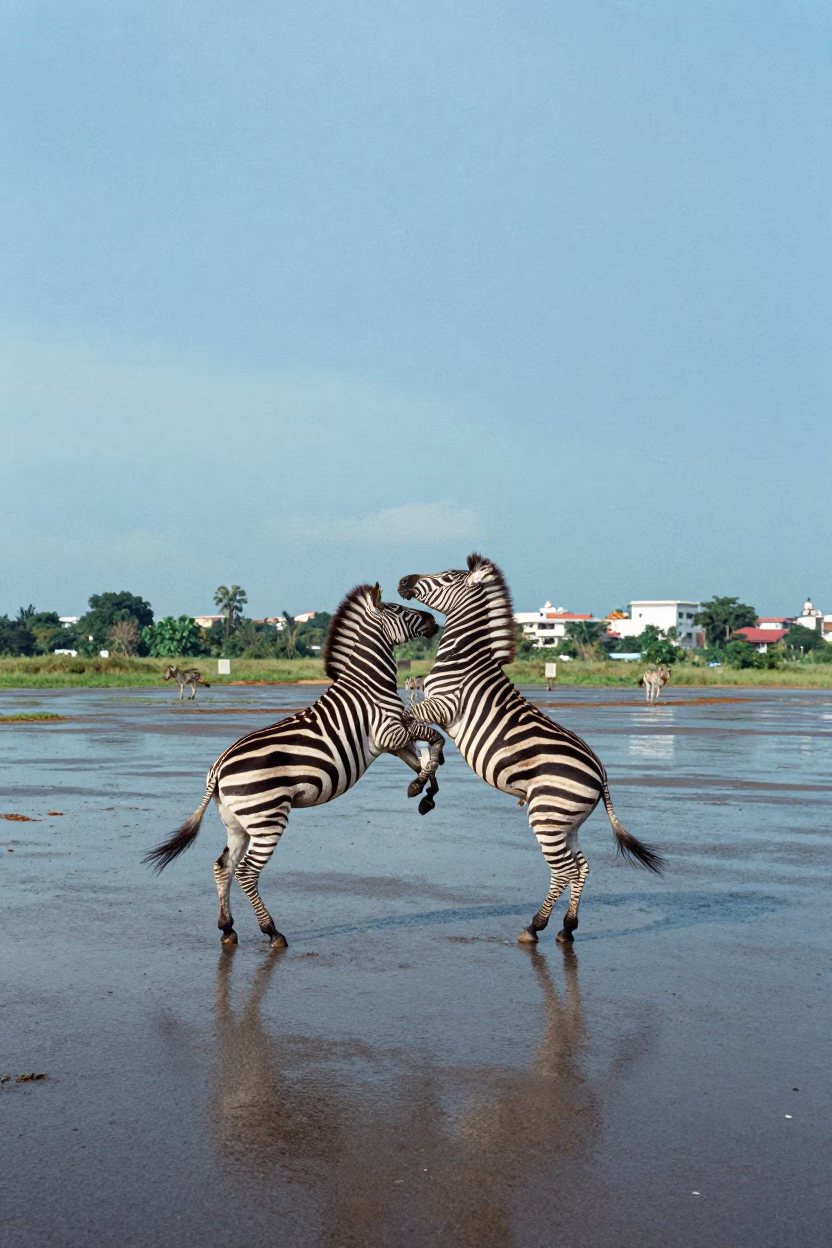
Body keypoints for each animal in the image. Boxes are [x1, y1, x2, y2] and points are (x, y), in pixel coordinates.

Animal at [144, 585, 446, 948]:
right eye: (398, 609)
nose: (433, 621)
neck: (369, 683)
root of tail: (217, 769)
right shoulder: (390, 732)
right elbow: (435, 740)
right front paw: (423, 788)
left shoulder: (392, 740)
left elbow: (422, 759)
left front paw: (425, 792)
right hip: (267, 817)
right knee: (246, 872)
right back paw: (272, 931)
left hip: (237, 822)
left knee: (223, 866)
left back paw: (227, 927)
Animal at [399, 554, 664, 944]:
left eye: (447, 577)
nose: (403, 580)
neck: (463, 659)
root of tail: (601, 775)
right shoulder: (436, 709)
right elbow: (421, 734)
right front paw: (426, 781)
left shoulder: (444, 706)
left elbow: (408, 720)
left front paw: (423, 781)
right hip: (566, 821)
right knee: (581, 867)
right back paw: (567, 927)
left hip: (547, 815)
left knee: (564, 870)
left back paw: (535, 926)